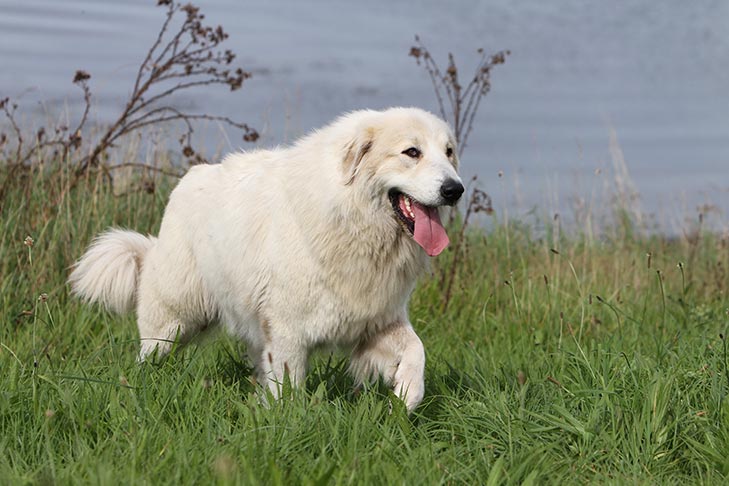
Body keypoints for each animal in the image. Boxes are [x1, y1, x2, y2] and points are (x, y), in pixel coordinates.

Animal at [68, 106, 460, 410]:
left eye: (449, 152)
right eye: (411, 152)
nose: (455, 189)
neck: (351, 217)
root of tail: (189, 178)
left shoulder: (376, 320)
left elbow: (416, 350)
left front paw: (407, 395)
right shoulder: (288, 332)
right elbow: (289, 388)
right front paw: (289, 423)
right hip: (175, 319)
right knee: (148, 355)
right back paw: (140, 386)